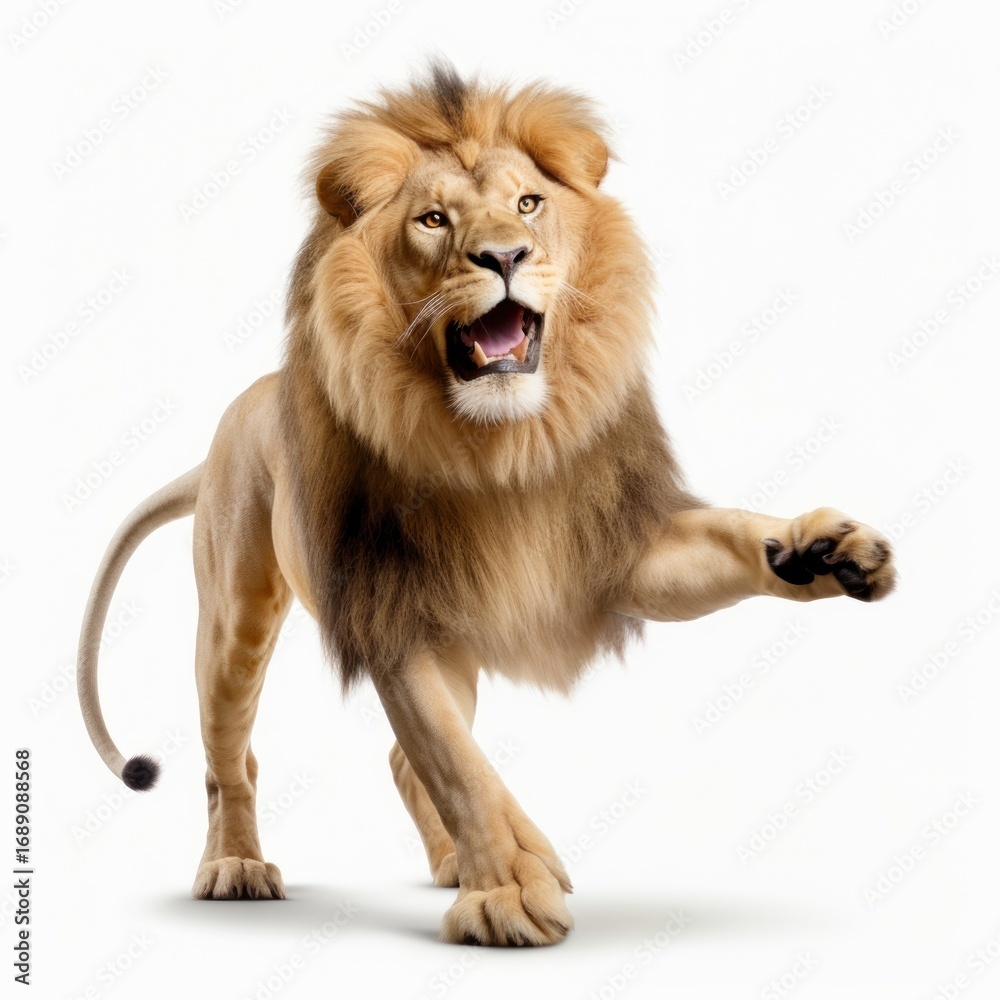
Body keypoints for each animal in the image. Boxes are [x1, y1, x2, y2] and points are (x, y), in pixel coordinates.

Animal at [77, 63, 895, 946]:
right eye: (435, 219)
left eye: (529, 204)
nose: (505, 254)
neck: (498, 449)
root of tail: (244, 407)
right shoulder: (390, 611)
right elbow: (457, 764)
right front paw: (509, 890)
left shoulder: (610, 552)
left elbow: (733, 535)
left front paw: (824, 549)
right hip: (237, 617)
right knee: (234, 756)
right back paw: (237, 865)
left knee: (400, 762)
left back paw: (455, 862)